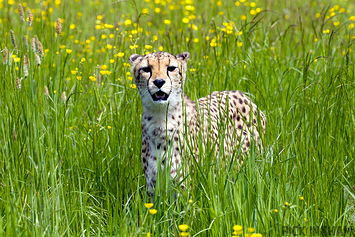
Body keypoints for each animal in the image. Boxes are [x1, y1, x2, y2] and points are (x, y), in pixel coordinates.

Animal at [129, 51, 266, 201]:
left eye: (171, 68)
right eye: (146, 69)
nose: (159, 82)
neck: (161, 119)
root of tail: (240, 93)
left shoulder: (185, 190)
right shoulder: (155, 191)